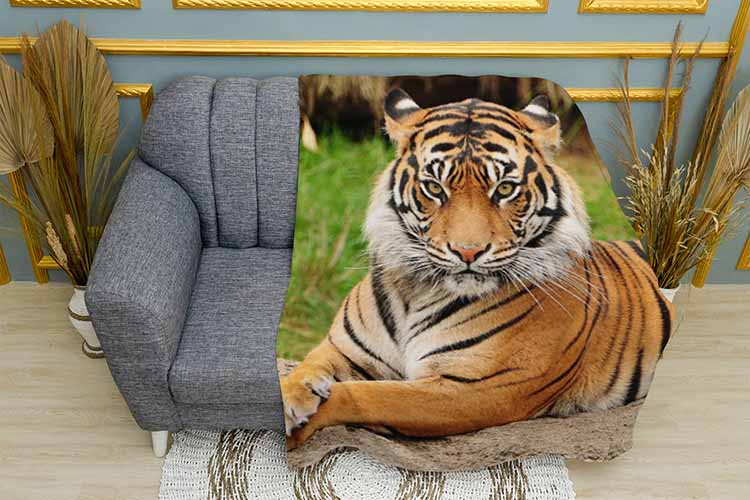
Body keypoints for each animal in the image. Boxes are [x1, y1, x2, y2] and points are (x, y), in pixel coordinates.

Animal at [281, 88, 674, 449]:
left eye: (504, 189)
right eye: (434, 188)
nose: (467, 252)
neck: (417, 291)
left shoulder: (477, 388)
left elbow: (363, 395)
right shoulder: (344, 349)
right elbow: (306, 367)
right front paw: (288, 395)